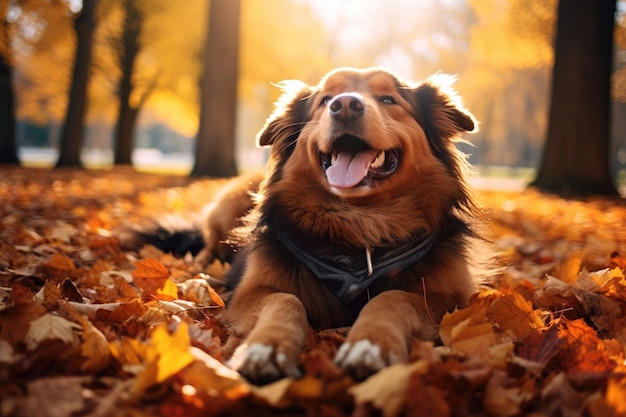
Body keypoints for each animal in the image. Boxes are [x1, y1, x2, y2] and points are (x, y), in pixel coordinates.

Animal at [210, 66, 482, 382]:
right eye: (326, 100)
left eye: (388, 99)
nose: (345, 106)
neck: (358, 221)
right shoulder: (249, 292)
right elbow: (285, 299)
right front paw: (266, 346)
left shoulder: (453, 298)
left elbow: (392, 296)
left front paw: (370, 344)